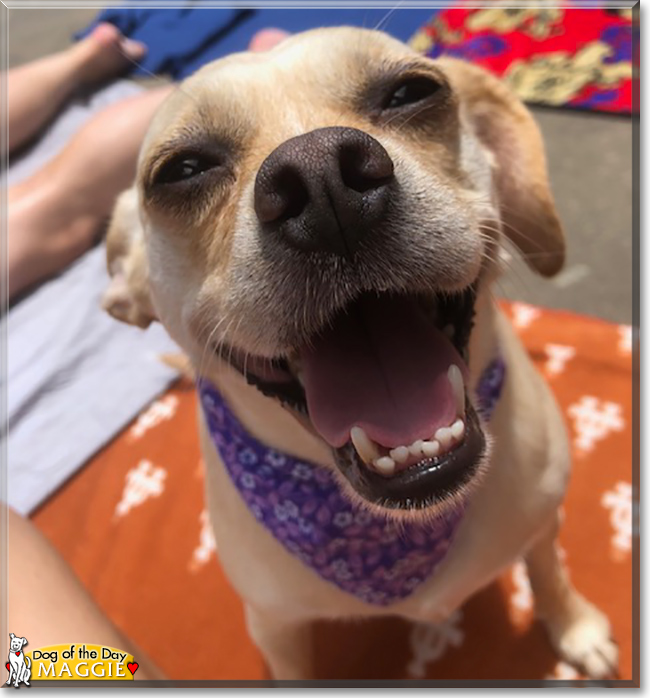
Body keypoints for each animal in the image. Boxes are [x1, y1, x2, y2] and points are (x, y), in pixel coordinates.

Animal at [102, 28, 616, 680]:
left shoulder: (543, 520)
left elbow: (548, 570)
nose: (320, 176)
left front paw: (574, 626)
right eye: (183, 169)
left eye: (412, 92)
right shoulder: (275, 628)